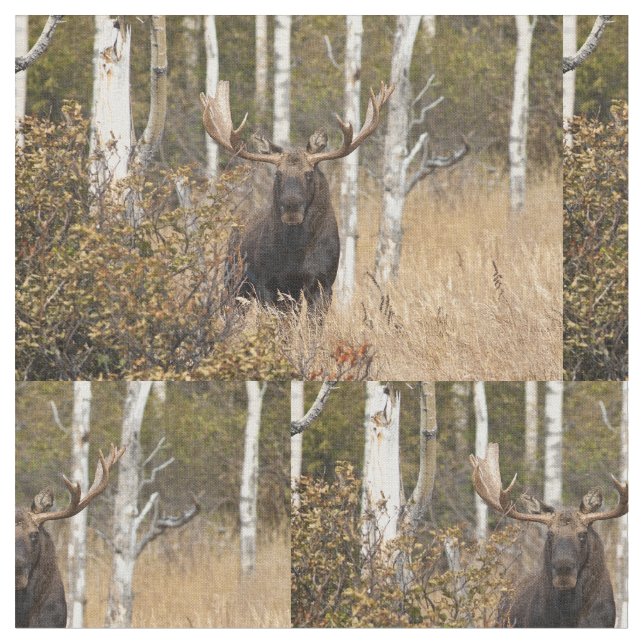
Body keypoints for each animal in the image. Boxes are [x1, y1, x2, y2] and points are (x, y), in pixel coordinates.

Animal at [201, 80, 394, 313]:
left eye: (309, 173)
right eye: (278, 174)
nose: (291, 207)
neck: (297, 252)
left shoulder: (323, 283)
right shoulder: (270, 284)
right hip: (234, 280)